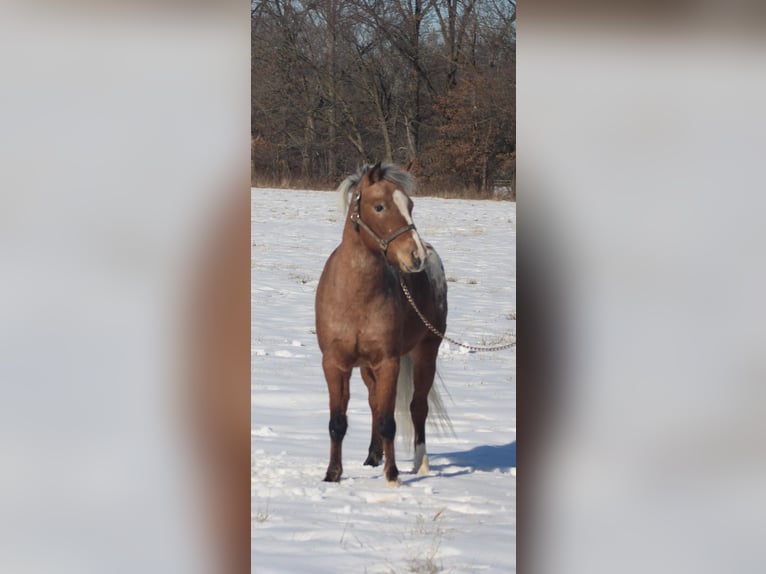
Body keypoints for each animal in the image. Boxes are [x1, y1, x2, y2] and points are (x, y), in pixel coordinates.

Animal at [316, 161, 452, 486]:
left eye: (411, 206)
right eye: (379, 206)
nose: (415, 256)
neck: (355, 297)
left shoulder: (389, 362)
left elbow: (389, 421)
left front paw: (393, 476)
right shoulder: (334, 364)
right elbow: (338, 421)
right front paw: (332, 474)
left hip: (426, 353)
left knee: (418, 407)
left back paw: (420, 463)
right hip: (367, 368)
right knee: (375, 404)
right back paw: (372, 456)